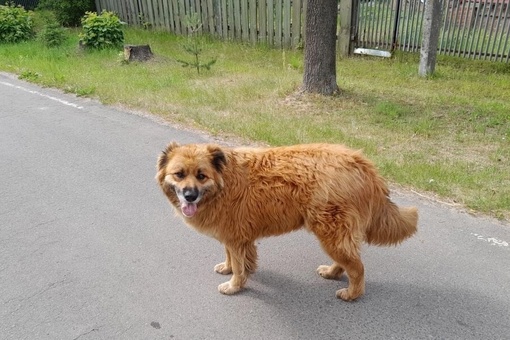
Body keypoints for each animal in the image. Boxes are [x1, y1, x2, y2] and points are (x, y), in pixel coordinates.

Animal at [156, 142, 418, 302]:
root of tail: (361, 163)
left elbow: (240, 267)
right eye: (179, 174)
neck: (223, 183)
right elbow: (233, 258)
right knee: (348, 261)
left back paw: (351, 294)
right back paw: (331, 272)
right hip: (335, 234)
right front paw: (228, 268)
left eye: (201, 176)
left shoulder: (235, 237)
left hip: (331, 232)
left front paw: (234, 285)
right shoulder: (232, 236)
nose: (189, 196)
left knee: (357, 268)